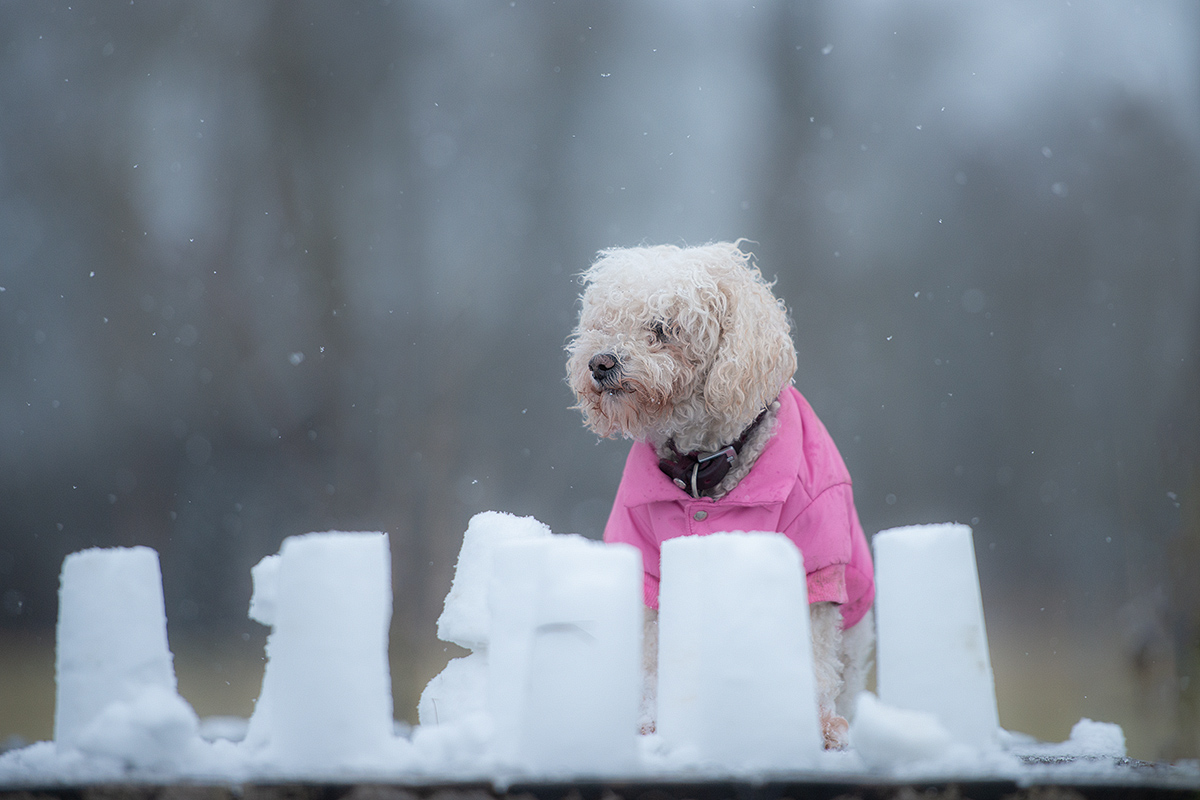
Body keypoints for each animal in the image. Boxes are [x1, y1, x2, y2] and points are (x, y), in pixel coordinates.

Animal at [566, 242, 878, 753]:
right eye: (603, 322)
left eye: (663, 328)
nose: (599, 362)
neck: (703, 469)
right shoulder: (650, 568)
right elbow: (653, 651)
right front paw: (651, 721)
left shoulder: (815, 566)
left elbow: (813, 651)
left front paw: (819, 726)